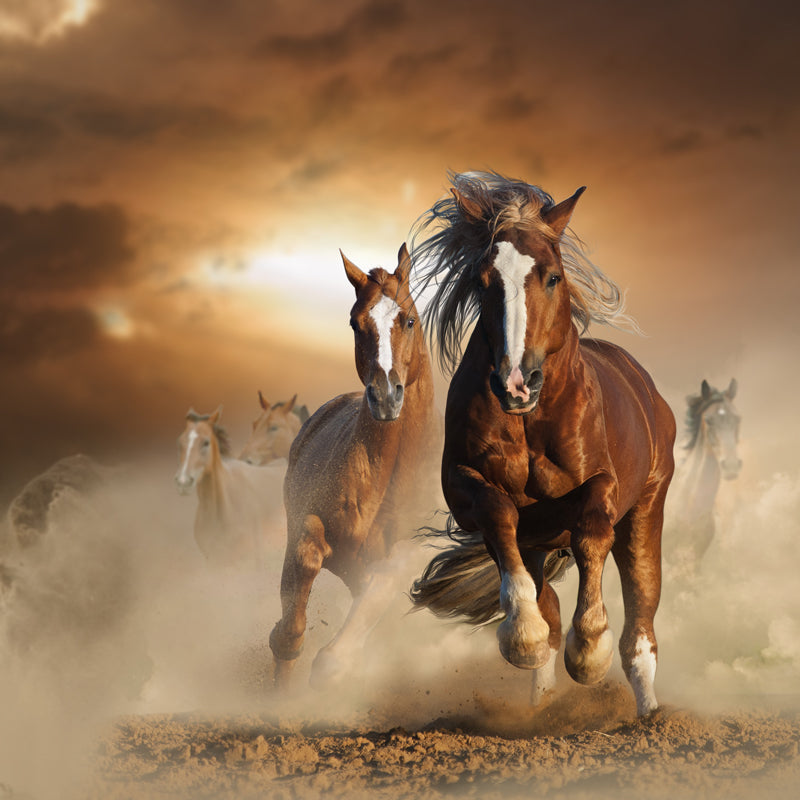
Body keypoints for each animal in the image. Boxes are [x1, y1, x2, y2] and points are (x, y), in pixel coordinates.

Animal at [269, 244, 441, 688]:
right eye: (354, 322)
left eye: (409, 319)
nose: (385, 396)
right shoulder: (308, 526)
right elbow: (305, 563)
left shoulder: (399, 564)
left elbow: (336, 657)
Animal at [409, 171, 675, 716]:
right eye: (482, 281)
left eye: (552, 276)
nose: (516, 382)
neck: (531, 421)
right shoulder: (466, 489)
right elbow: (498, 516)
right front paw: (523, 637)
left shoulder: (603, 486)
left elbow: (592, 530)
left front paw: (589, 651)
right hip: (538, 542)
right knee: (546, 600)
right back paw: (543, 701)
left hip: (647, 508)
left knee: (641, 618)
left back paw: (648, 715)